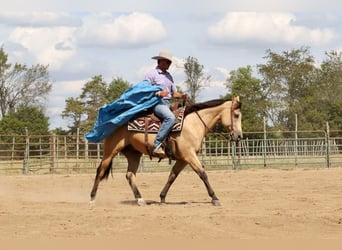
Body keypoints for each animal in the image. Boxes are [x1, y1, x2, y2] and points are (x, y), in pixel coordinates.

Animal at [89, 95, 242, 205]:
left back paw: (140, 199)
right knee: (100, 171)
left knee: (130, 175)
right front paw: (215, 198)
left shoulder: (183, 159)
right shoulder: (189, 156)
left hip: (134, 154)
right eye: (236, 115)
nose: (239, 136)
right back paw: (92, 199)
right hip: (110, 151)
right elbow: (203, 174)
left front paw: (162, 197)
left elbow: (172, 176)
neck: (193, 123)